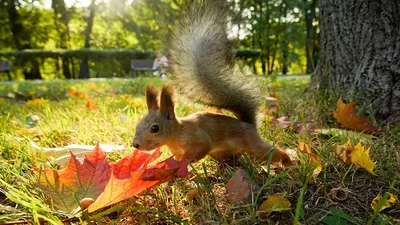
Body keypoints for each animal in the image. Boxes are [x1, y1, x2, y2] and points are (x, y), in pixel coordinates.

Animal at [131, 0, 290, 165]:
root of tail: (249, 124)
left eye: (155, 128)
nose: (135, 144)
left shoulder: (197, 138)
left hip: (252, 144)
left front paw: (183, 163)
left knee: (268, 152)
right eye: (138, 123)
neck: (176, 134)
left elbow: (201, 148)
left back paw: (288, 161)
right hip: (222, 152)